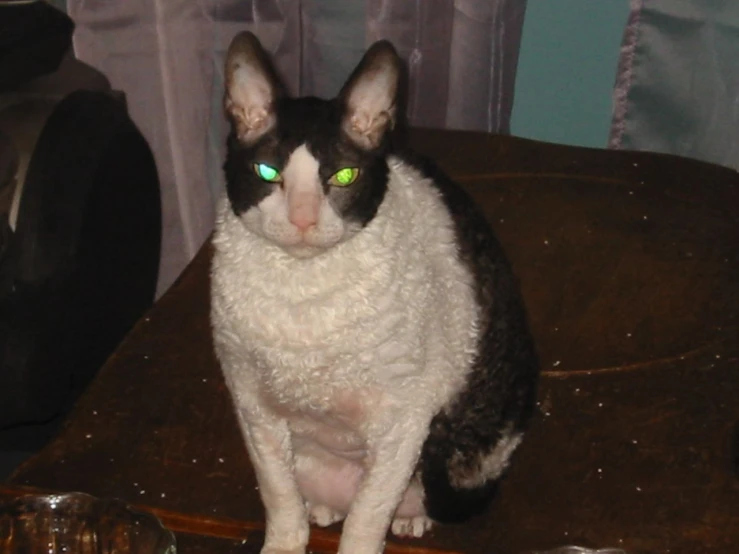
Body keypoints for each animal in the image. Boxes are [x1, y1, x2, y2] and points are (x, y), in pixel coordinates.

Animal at [211, 31, 540, 552]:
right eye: (267, 172)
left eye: (343, 176)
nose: (303, 218)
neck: (303, 303)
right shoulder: (252, 403)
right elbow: (278, 494)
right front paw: (284, 542)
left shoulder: (403, 418)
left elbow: (367, 517)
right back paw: (323, 508)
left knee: (394, 497)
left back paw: (409, 520)